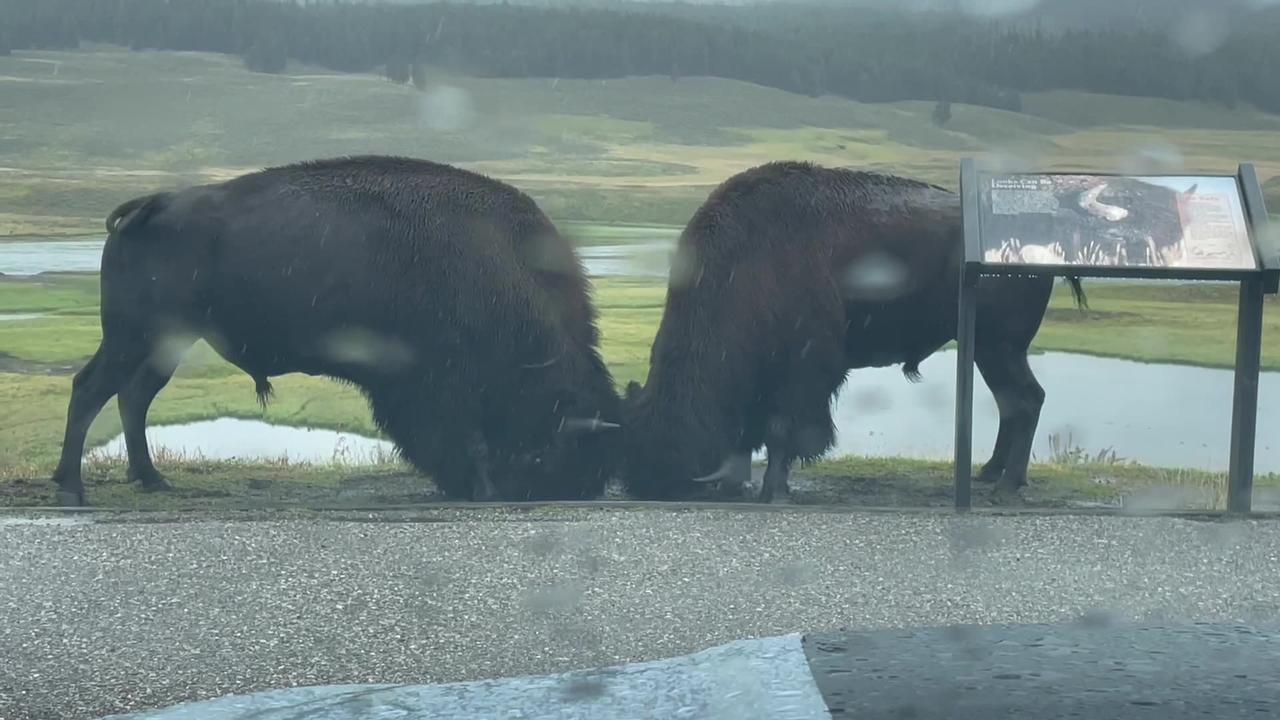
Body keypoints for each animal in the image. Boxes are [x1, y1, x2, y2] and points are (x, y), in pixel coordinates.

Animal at [52, 154, 622, 504]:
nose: (582, 487)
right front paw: (479, 489)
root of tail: (150, 205)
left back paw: (152, 480)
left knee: (133, 397)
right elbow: (469, 439)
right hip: (133, 338)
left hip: (164, 345)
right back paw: (72, 489)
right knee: (90, 390)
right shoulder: (443, 384)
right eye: (574, 437)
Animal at [614, 160, 1085, 502]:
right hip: (989, 351)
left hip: (1000, 347)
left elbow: (781, 433)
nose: (644, 489)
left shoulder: (805, 375)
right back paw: (989, 473)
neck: (741, 266)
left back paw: (1007, 486)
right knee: (1012, 404)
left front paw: (772, 492)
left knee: (1025, 400)